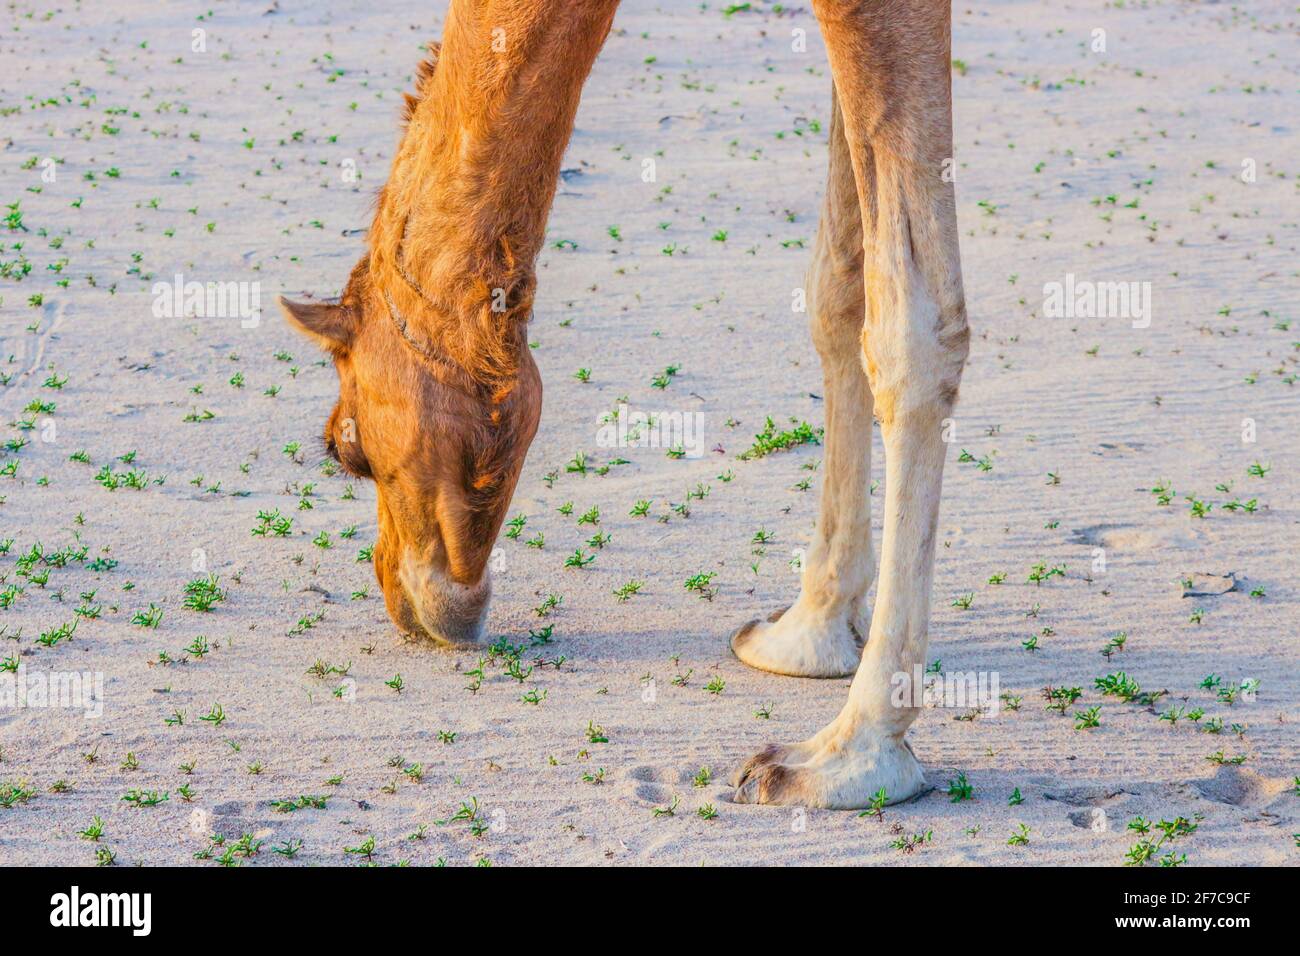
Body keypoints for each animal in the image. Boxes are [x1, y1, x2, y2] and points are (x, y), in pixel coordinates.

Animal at [280, 0, 968, 810]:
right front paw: (807, 631)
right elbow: (838, 282)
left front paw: (849, 755)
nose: (404, 599)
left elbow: (912, 331)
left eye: (345, 449)